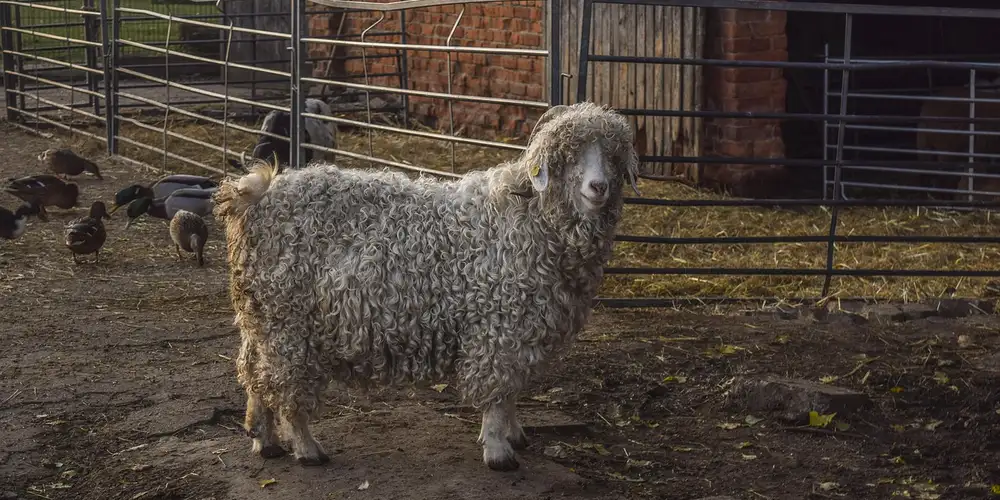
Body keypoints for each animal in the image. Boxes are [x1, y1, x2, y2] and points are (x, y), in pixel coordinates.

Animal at [212, 102, 640, 471]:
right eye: (566, 156)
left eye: (614, 155)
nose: (598, 187)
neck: (528, 218)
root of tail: (255, 195)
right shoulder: (498, 326)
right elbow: (498, 394)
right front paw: (499, 450)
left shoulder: (520, 329)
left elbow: (512, 391)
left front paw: (514, 434)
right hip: (290, 323)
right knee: (286, 388)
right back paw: (306, 448)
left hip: (261, 319)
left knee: (254, 374)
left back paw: (264, 440)